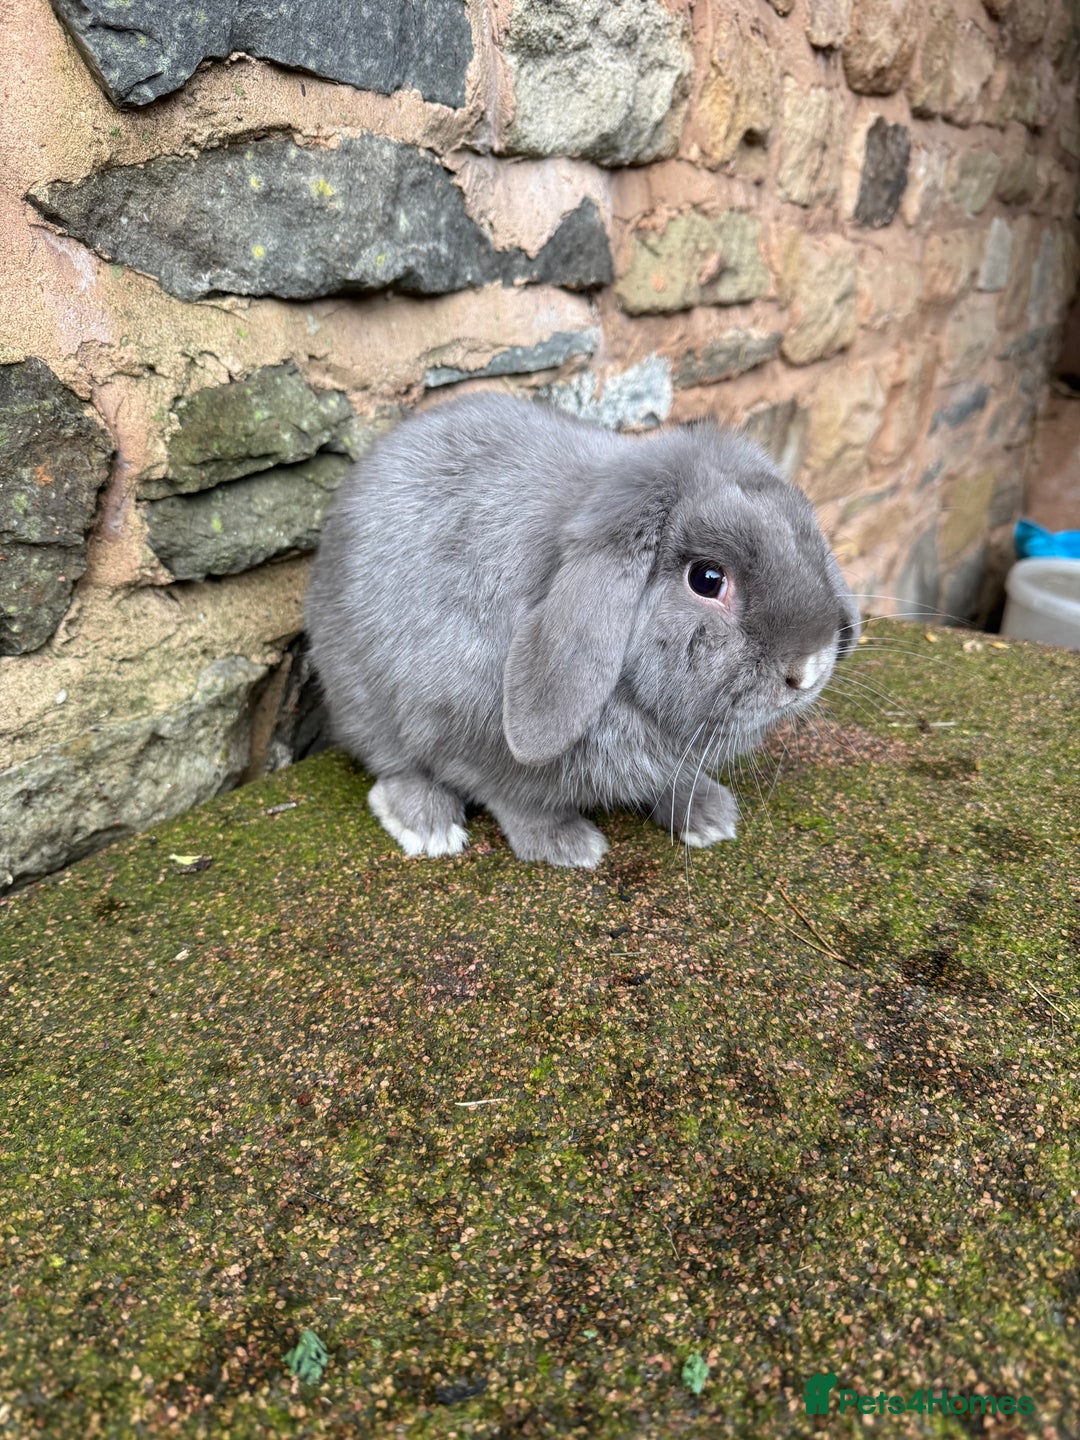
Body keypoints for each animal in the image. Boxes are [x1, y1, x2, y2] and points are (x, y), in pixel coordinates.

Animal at [304, 392, 861, 868]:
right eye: (707, 579)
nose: (807, 670)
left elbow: (671, 782)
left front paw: (708, 817)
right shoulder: (466, 735)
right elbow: (516, 799)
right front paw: (568, 846)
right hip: (364, 699)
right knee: (393, 766)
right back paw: (429, 826)